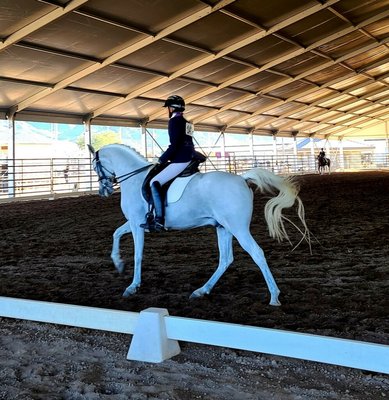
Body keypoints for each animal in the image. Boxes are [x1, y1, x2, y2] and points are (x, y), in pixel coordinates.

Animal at [88, 144, 310, 306]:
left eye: (94, 166)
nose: (103, 191)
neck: (134, 178)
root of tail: (241, 178)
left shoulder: (136, 223)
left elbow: (137, 255)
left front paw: (132, 286)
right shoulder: (136, 222)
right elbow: (116, 233)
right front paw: (118, 263)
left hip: (238, 228)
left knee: (256, 253)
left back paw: (274, 297)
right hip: (223, 227)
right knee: (225, 259)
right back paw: (201, 290)